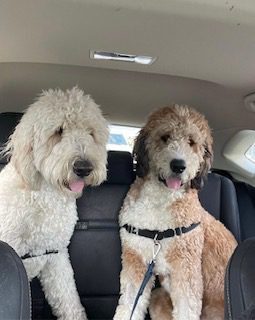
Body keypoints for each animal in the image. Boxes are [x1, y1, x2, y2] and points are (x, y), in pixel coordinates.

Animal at [0, 87, 108, 320]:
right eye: (58, 131)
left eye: (91, 132)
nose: (84, 167)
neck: (45, 196)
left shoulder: (56, 255)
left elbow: (68, 299)